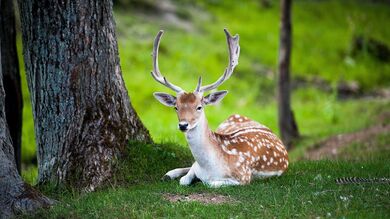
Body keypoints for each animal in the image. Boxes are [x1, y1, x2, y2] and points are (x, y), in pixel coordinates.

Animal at [151, 28, 288, 187]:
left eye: (199, 107)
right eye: (176, 107)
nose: (183, 125)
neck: (209, 167)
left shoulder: (244, 176)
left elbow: (209, 183)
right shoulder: (196, 167)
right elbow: (185, 179)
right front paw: (174, 175)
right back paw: (169, 173)